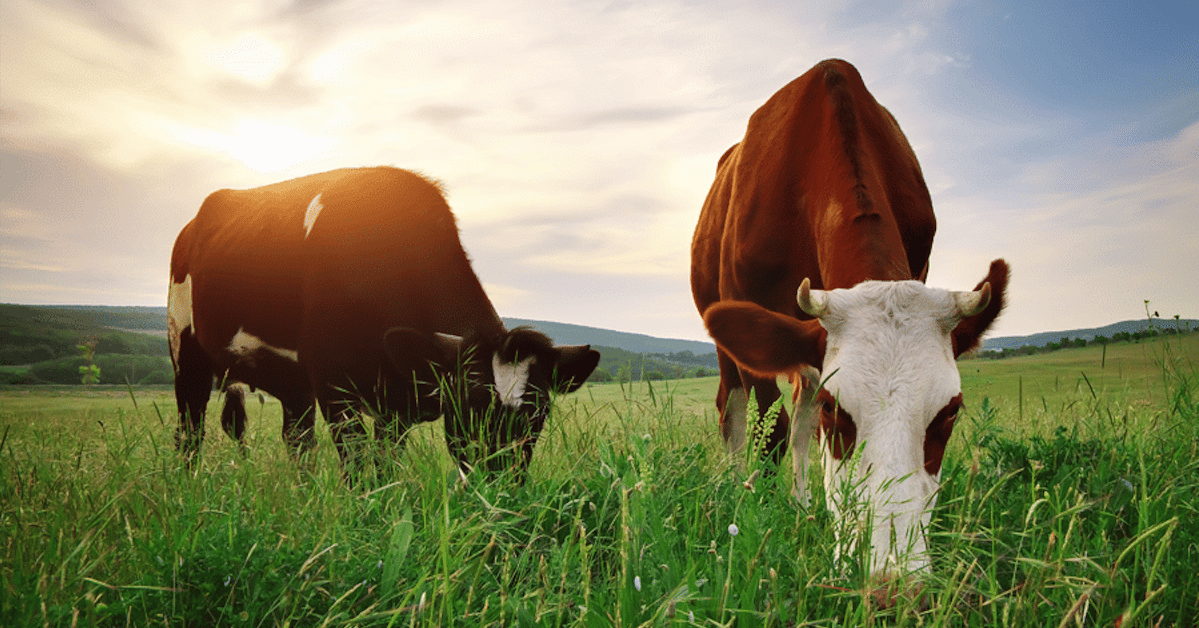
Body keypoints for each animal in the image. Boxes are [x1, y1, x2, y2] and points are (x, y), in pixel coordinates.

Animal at [695, 60, 1011, 580]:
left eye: (950, 412)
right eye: (835, 408)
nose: (890, 582)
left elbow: (799, 430)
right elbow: (771, 431)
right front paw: (757, 514)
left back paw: (804, 505)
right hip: (726, 338)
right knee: (735, 410)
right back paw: (736, 487)